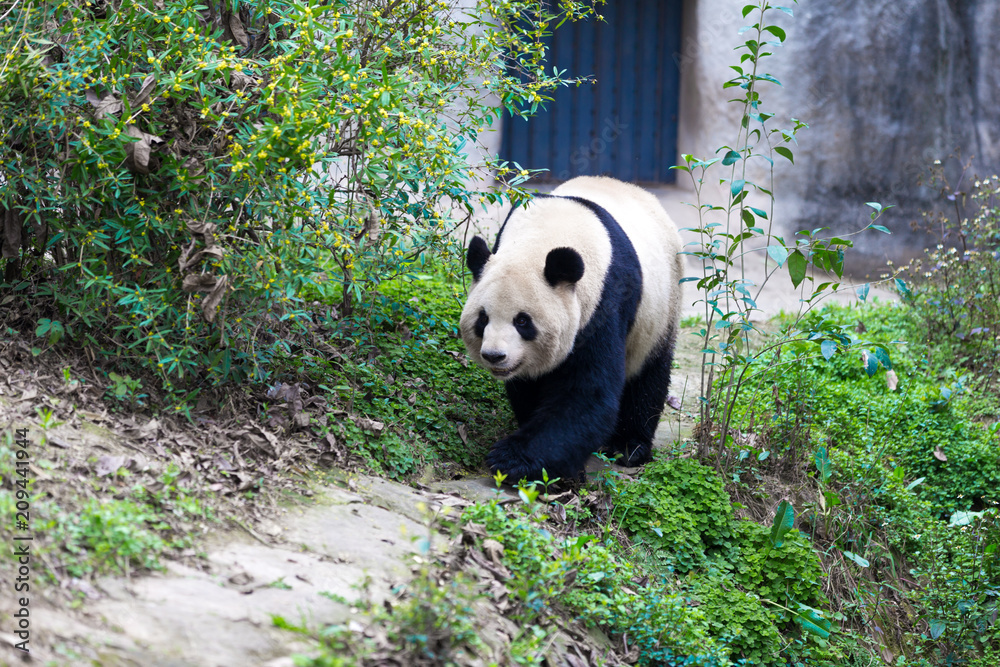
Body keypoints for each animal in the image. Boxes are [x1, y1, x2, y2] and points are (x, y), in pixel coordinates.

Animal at [462, 175, 688, 482]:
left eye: (522, 321)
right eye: (482, 319)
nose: (495, 356)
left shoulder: (604, 301)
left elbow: (586, 392)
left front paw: (510, 459)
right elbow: (528, 386)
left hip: (662, 307)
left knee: (649, 374)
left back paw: (629, 446)